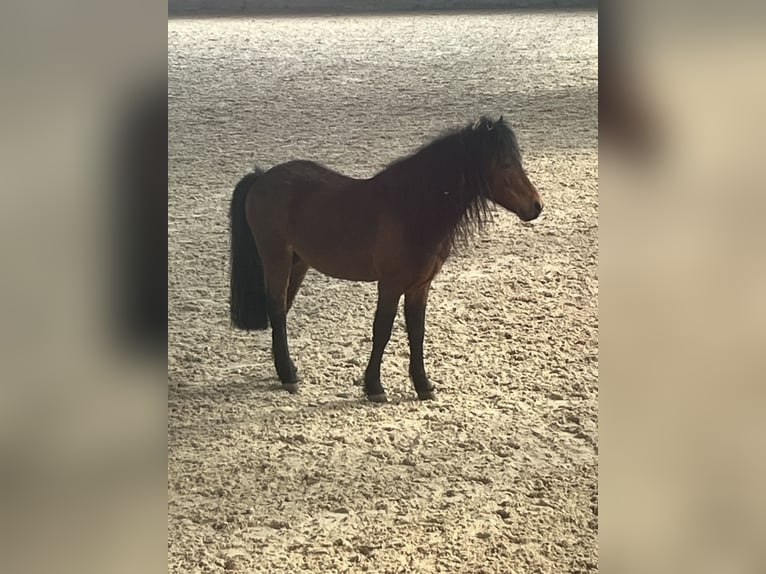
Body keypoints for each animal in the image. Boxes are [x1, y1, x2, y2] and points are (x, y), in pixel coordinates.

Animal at [229, 116, 543, 403]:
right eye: (504, 164)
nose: (536, 206)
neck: (410, 207)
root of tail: (262, 177)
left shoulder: (420, 287)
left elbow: (416, 332)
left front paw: (423, 385)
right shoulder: (390, 285)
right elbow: (382, 330)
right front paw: (374, 387)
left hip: (298, 263)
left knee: (281, 310)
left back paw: (286, 371)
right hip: (276, 258)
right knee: (278, 310)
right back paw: (288, 375)